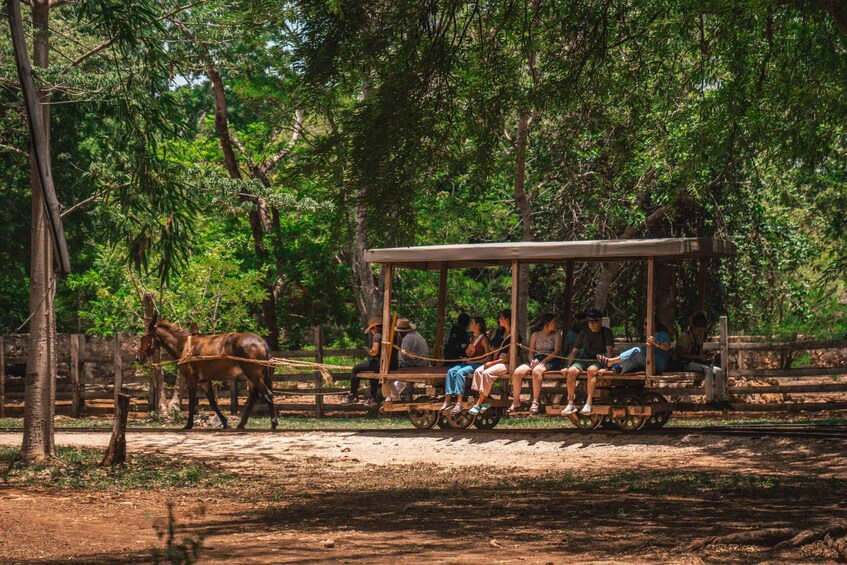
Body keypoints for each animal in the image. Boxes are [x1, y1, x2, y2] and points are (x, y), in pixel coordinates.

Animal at [134, 316, 276, 430]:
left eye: (146, 338)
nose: (137, 358)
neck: (184, 346)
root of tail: (261, 341)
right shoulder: (204, 381)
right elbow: (212, 403)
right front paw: (225, 423)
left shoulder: (191, 379)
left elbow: (191, 402)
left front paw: (189, 424)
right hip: (252, 377)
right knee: (255, 396)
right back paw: (242, 424)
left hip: (253, 374)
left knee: (267, 394)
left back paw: (273, 423)